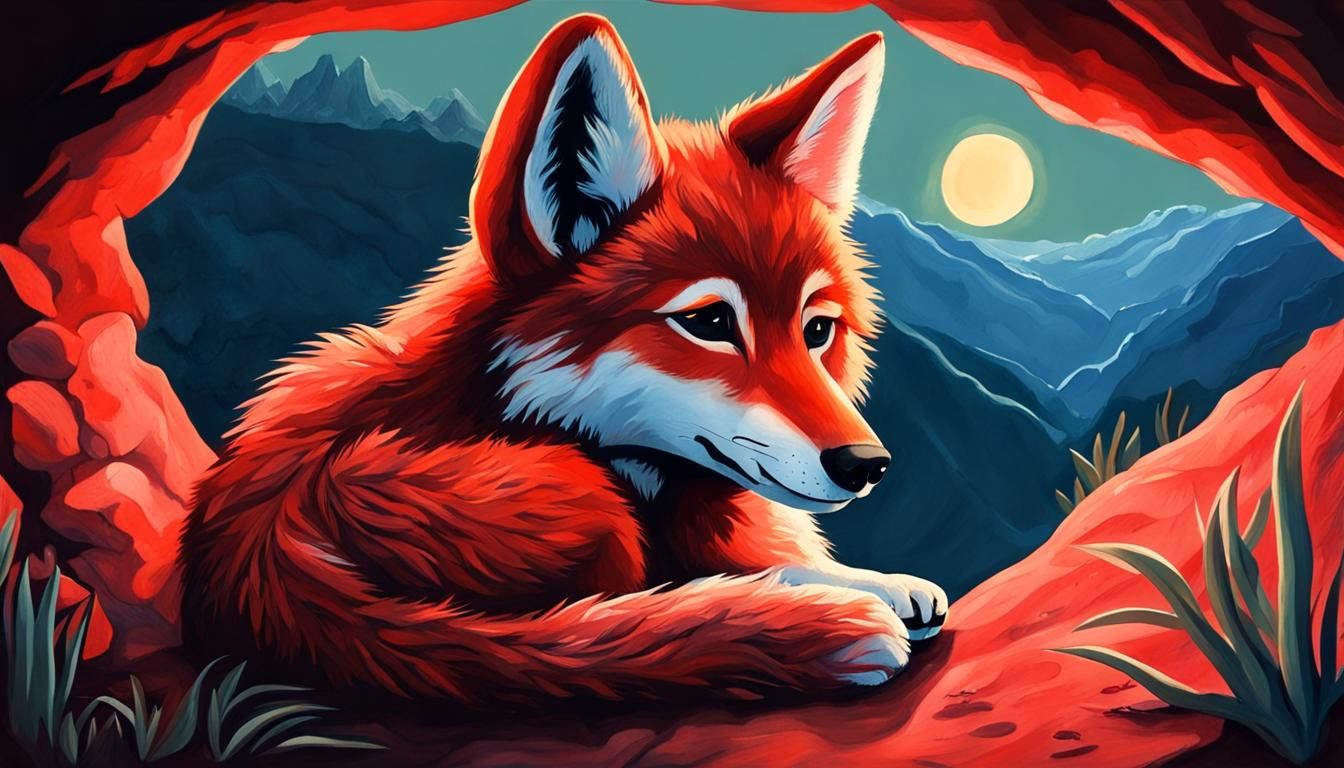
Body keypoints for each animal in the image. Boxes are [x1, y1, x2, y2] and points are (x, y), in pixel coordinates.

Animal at [180, 13, 947, 705]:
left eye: (817, 330)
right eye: (708, 322)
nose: (866, 465)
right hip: (580, 497)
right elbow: (669, 600)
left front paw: (877, 583)